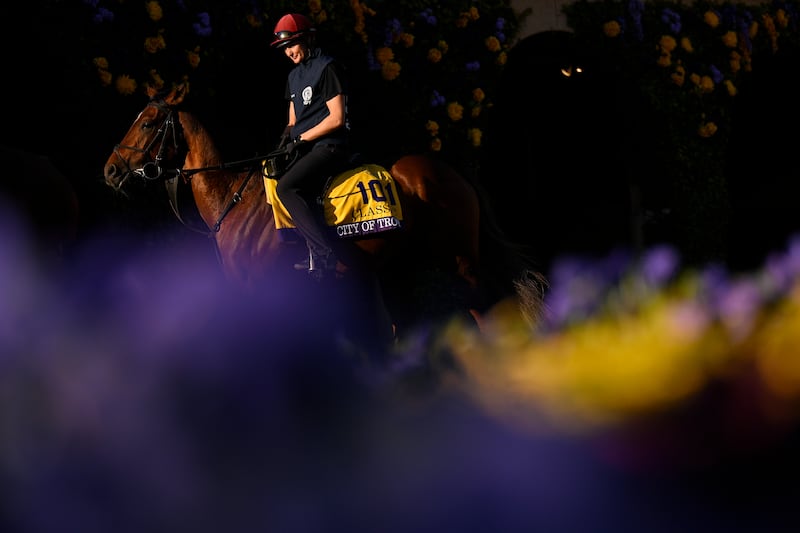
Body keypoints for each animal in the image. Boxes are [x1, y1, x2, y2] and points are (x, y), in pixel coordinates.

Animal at [103, 84, 548, 344]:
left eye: (147, 123)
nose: (110, 170)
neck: (233, 200)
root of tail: (449, 169)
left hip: (460, 262)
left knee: (489, 313)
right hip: (401, 268)